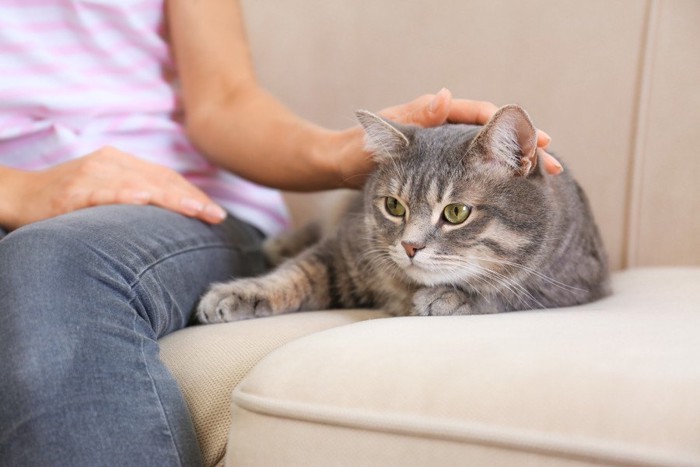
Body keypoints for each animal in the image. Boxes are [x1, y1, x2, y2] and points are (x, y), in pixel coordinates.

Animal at [196, 104, 608, 324]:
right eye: (394, 206)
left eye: (456, 212)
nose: (410, 247)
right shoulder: (343, 249)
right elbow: (293, 274)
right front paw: (237, 293)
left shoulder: (577, 280)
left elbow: (509, 292)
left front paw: (450, 297)